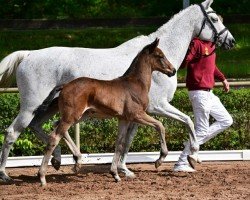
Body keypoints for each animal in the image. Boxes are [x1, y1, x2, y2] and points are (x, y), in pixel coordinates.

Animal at [38, 38, 176, 186]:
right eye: (160, 56)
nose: (173, 70)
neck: (136, 84)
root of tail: (65, 86)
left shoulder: (124, 119)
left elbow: (119, 143)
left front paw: (115, 174)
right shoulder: (137, 115)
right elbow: (160, 126)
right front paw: (159, 160)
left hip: (80, 115)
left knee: (57, 126)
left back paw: (77, 161)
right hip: (72, 116)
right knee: (54, 137)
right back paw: (42, 177)